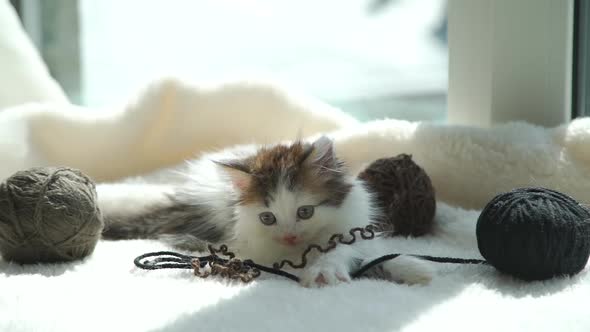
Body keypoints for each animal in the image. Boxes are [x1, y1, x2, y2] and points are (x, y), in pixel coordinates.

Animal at [100, 136, 434, 286]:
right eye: (268, 218)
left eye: (305, 212)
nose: (289, 237)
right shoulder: (256, 251)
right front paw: (321, 272)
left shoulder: (354, 229)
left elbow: (364, 252)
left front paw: (414, 269)